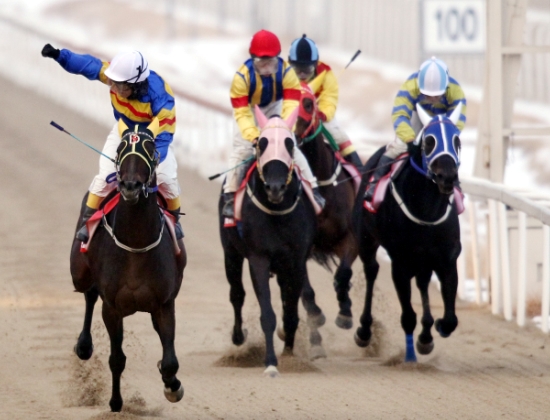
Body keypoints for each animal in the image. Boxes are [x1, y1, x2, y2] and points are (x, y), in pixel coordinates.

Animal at [70, 117, 187, 410]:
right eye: (120, 148)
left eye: (151, 148)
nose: (130, 186)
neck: (136, 244)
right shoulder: (112, 307)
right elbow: (117, 358)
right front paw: (115, 402)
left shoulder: (165, 304)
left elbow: (170, 361)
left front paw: (172, 386)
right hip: (79, 272)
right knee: (89, 294)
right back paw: (84, 345)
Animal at [219, 108, 316, 378]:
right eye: (261, 144)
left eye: (290, 144)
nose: (275, 187)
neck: (277, 211)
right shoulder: (258, 258)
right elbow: (267, 315)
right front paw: (271, 362)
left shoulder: (296, 260)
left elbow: (291, 312)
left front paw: (289, 354)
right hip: (230, 253)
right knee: (236, 294)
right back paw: (238, 336)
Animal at [296, 83, 360, 332]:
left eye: (308, 104)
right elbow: (304, 287)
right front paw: (315, 313)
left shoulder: (350, 238)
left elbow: (343, 274)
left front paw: (345, 313)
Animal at [354, 103, 466, 362]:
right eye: (429, 141)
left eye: (457, 140)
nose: (447, 177)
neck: (427, 211)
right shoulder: (400, 262)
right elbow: (407, 316)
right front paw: (410, 355)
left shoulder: (446, 259)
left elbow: (451, 319)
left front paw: (434, 329)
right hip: (366, 240)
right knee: (371, 271)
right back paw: (364, 330)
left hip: (423, 260)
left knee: (423, 282)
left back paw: (426, 332)